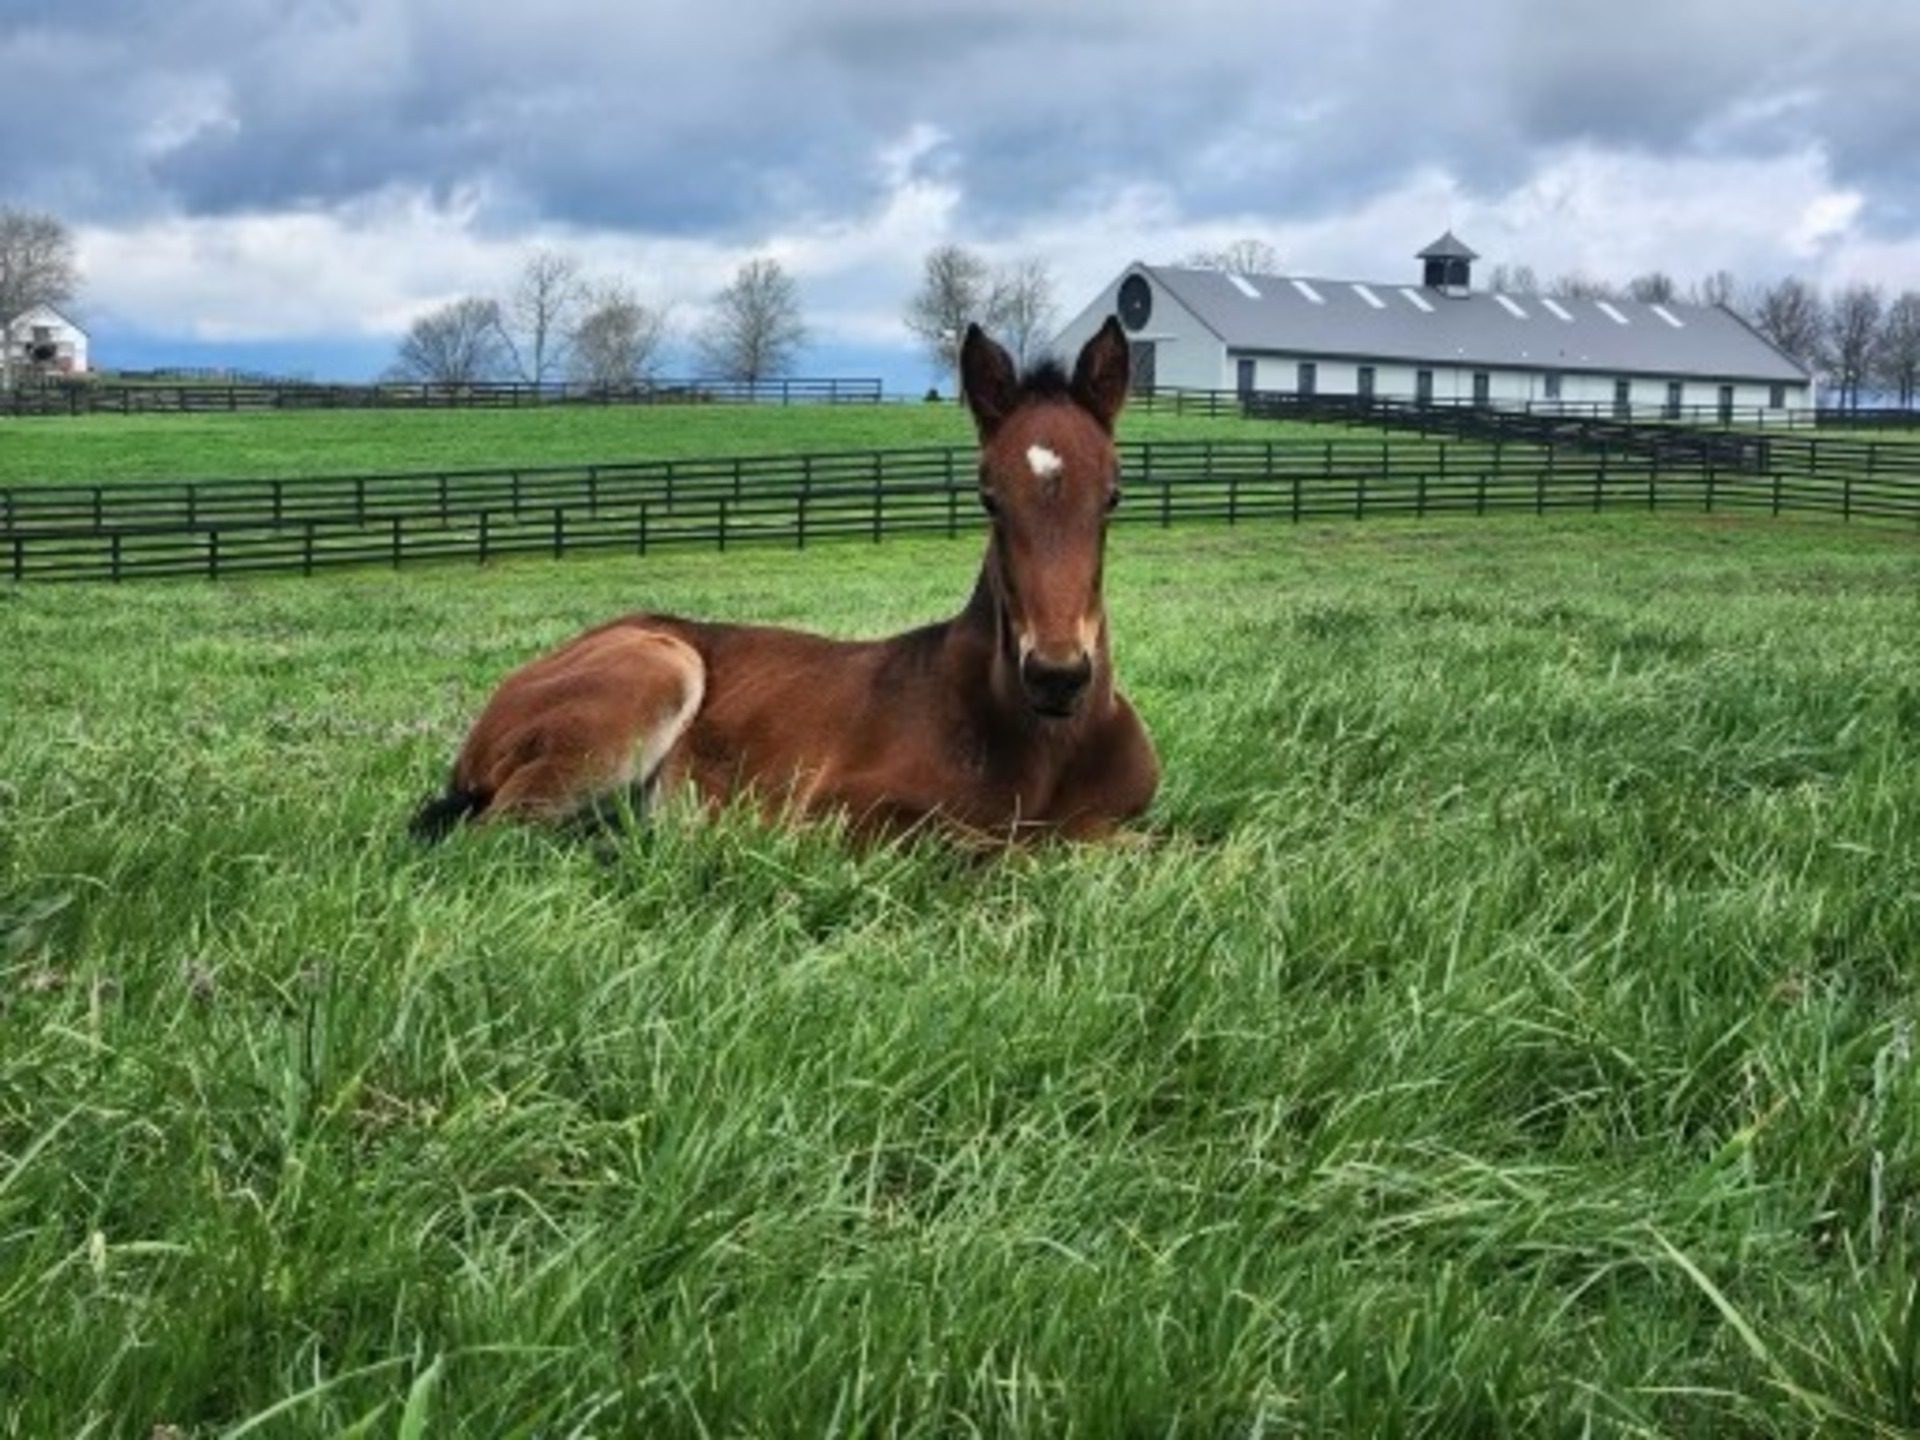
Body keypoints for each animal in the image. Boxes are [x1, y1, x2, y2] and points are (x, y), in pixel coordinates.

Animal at [410, 316, 1159, 845]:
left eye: (1114, 496)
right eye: (988, 498)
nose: (1057, 676)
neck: (1046, 746)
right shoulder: (837, 814)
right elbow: (1011, 845)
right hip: (651, 675)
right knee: (493, 838)